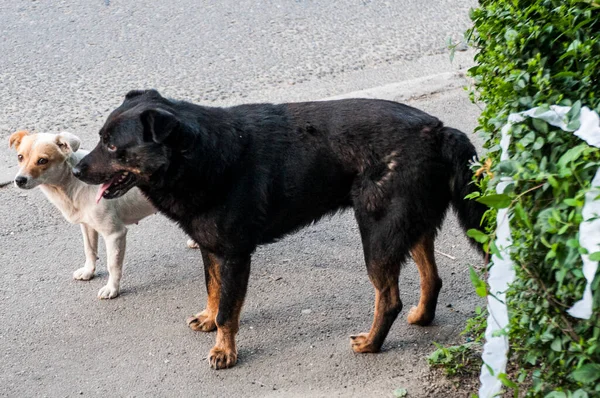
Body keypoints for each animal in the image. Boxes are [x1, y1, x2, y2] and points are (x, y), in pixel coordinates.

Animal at [9, 131, 159, 298]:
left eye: (42, 160)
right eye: (20, 157)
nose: (19, 180)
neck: (71, 184)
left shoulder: (115, 234)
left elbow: (113, 265)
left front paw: (112, 289)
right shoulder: (87, 226)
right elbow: (89, 250)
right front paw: (89, 272)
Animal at [75, 90, 488, 370]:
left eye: (112, 145)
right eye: (100, 136)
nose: (77, 170)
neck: (199, 156)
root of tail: (437, 129)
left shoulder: (236, 256)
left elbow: (229, 310)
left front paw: (224, 351)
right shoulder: (212, 249)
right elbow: (213, 290)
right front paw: (209, 318)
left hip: (378, 234)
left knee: (388, 299)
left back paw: (371, 343)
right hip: (408, 226)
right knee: (431, 278)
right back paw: (421, 316)